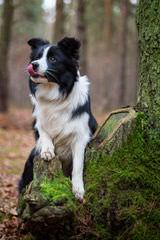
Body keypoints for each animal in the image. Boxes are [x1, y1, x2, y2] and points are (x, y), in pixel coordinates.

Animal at [18, 37, 97, 201]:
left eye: (53, 59)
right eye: (37, 57)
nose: (33, 65)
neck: (54, 95)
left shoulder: (81, 135)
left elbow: (78, 165)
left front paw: (78, 189)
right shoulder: (37, 122)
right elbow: (43, 132)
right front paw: (48, 150)